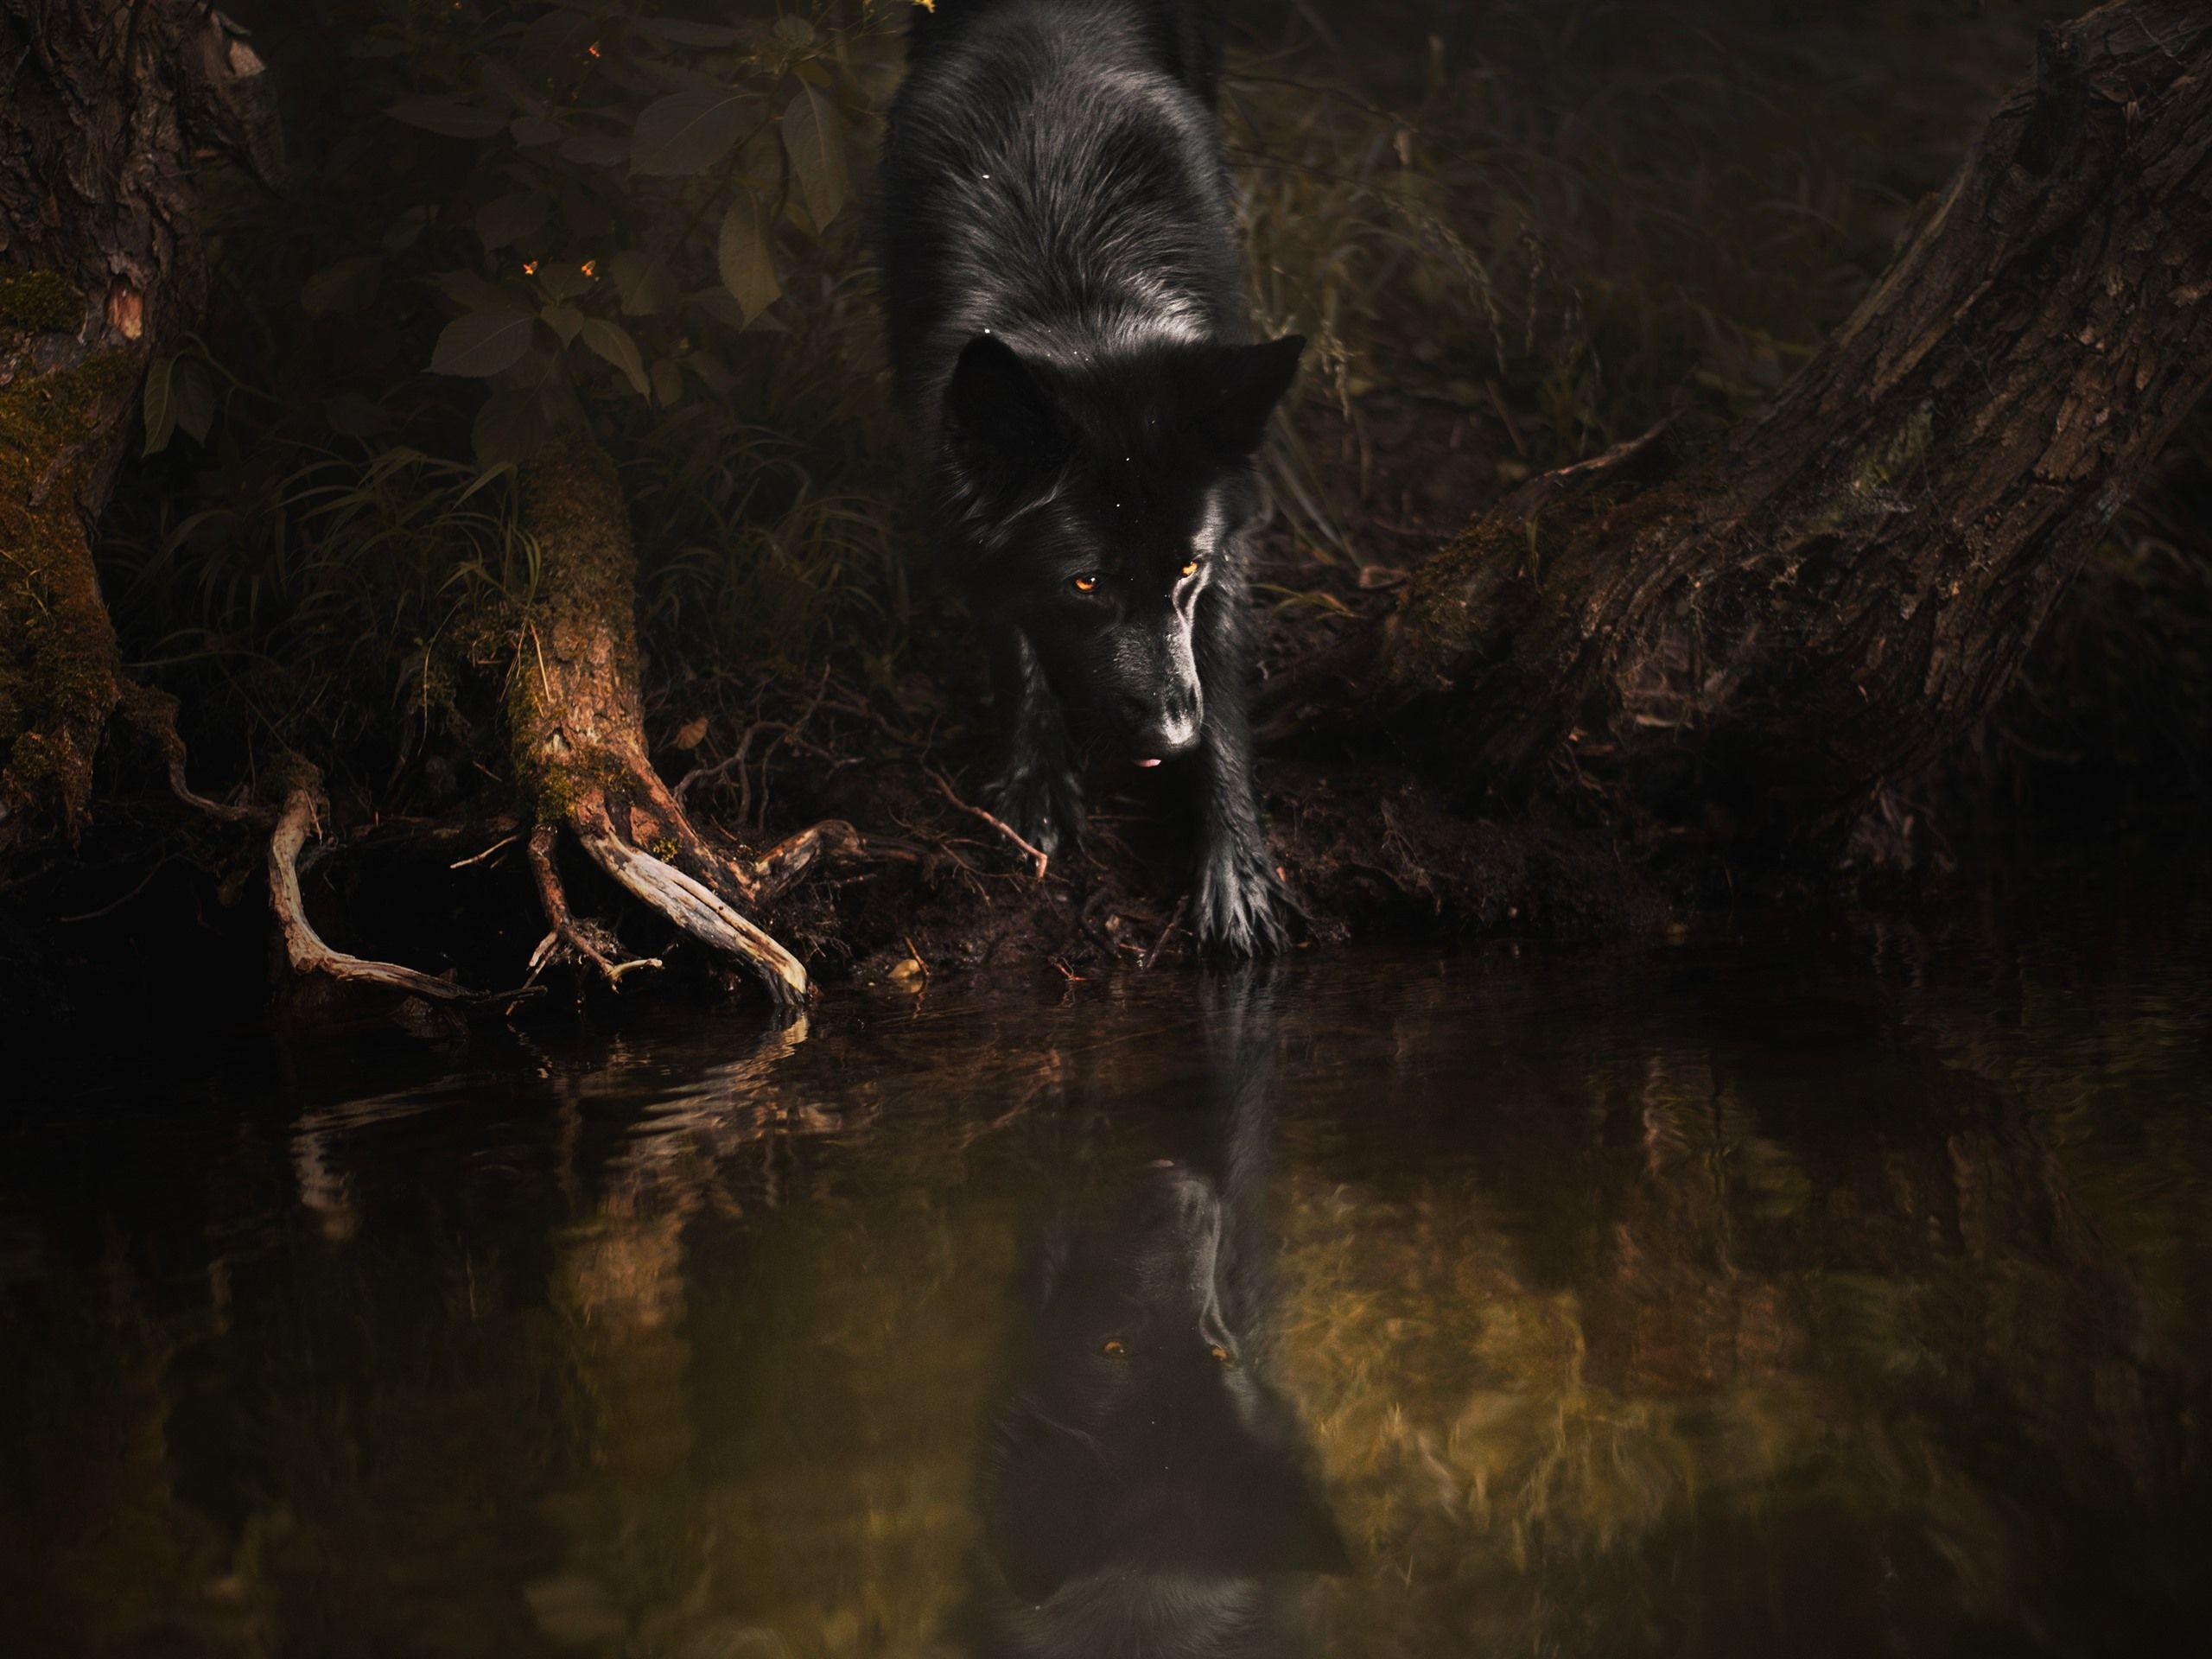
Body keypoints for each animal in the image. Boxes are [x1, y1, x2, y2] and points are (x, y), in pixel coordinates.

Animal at [880, 0, 1305, 956]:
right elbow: (1013, 642)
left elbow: (1223, 679)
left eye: (1186, 569)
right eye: (1085, 583)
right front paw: (1032, 788)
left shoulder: (1227, 541)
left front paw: (1236, 863)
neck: (1076, 286)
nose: (1173, 739)